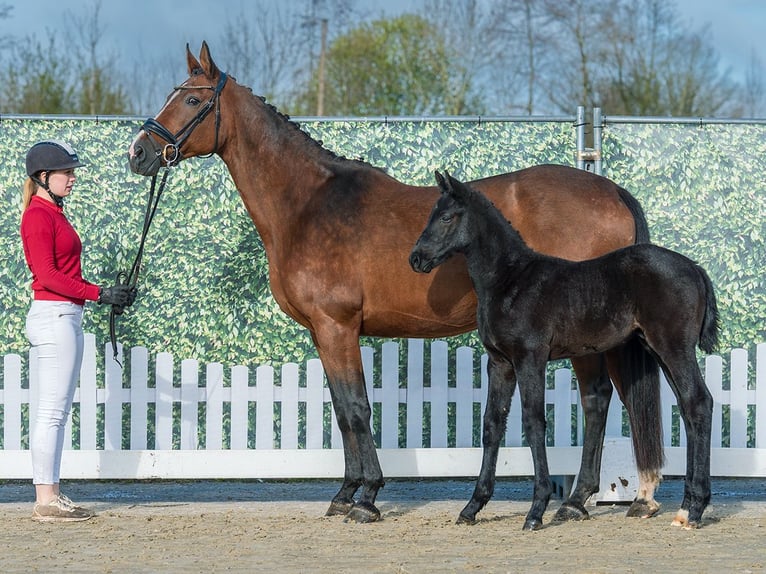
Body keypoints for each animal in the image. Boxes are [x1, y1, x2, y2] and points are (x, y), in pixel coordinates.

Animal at [128, 41, 664, 524]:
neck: (308, 205)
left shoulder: (337, 326)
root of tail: (610, 190)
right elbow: (342, 410)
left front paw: (366, 497)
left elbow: (357, 409)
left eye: (192, 100)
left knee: (596, 399)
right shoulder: (323, 333)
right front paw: (345, 493)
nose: (139, 152)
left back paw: (577, 501)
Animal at [410, 171, 718, 530]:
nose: (416, 258)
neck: (510, 280)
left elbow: (533, 422)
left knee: (699, 402)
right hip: (657, 349)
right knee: (688, 406)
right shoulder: (500, 363)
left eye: (446, 217)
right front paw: (472, 507)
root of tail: (695, 269)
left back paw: (692, 509)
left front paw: (536, 510)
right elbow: (491, 424)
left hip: (673, 347)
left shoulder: (530, 358)